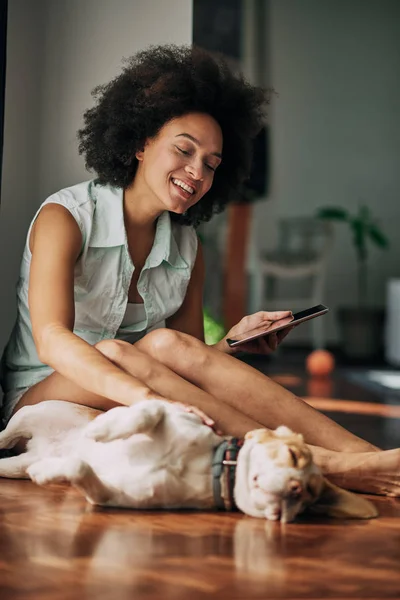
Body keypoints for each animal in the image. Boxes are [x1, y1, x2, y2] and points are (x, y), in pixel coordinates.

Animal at [0, 400, 378, 524]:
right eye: (293, 455)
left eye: (308, 499)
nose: (296, 489)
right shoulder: (169, 411)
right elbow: (148, 410)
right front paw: (103, 430)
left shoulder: (108, 495)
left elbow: (80, 467)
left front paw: (50, 472)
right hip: (28, 414)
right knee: (3, 435)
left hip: (15, 467)